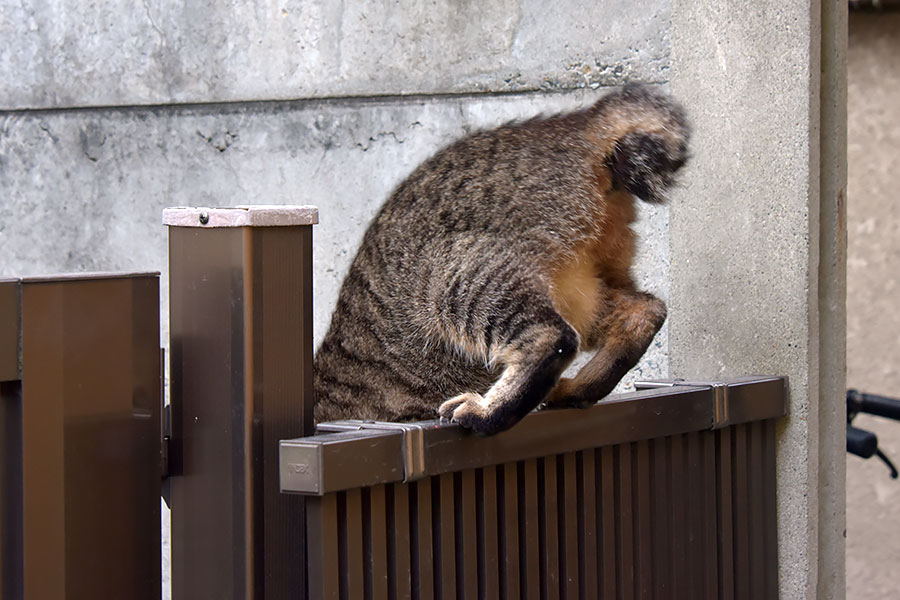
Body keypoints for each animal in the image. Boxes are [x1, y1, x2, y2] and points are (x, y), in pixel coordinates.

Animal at [314, 82, 688, 434]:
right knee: (645, 310)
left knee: (553, 338)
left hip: (457, 276)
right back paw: (577, 390)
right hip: (582, 288)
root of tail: (576, 122)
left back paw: (486, 411)